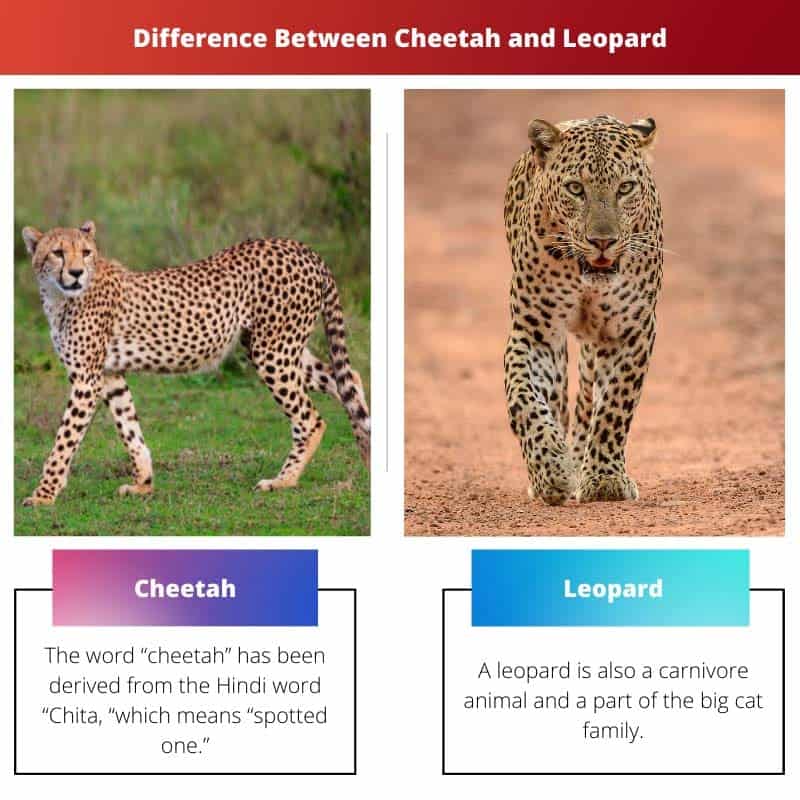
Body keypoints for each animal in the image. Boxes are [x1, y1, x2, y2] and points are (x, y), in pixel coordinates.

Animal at [20, 221, 370, 506]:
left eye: (86, 252)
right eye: (57, 253)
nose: (76, 273)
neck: (60, 297)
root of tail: (302, 247)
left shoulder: (86, 380)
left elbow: (64, 440)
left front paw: (44, 494)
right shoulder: (109, 375)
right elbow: (129, 429)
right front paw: (143, 484)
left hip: (272, 351)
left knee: (311, 418)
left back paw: (283, 480)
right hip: (279, 347)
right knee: (348, 379)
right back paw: (368, 457)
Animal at [503, 113, 663, 506]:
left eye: (625, 188)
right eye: (576, 188)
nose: (602, 241)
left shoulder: (631, 332)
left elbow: (614, 406)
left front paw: (605, 479)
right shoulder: (535, 333)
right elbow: (525, 400)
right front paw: (551, 470)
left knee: (589, 399)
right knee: (558, 399)